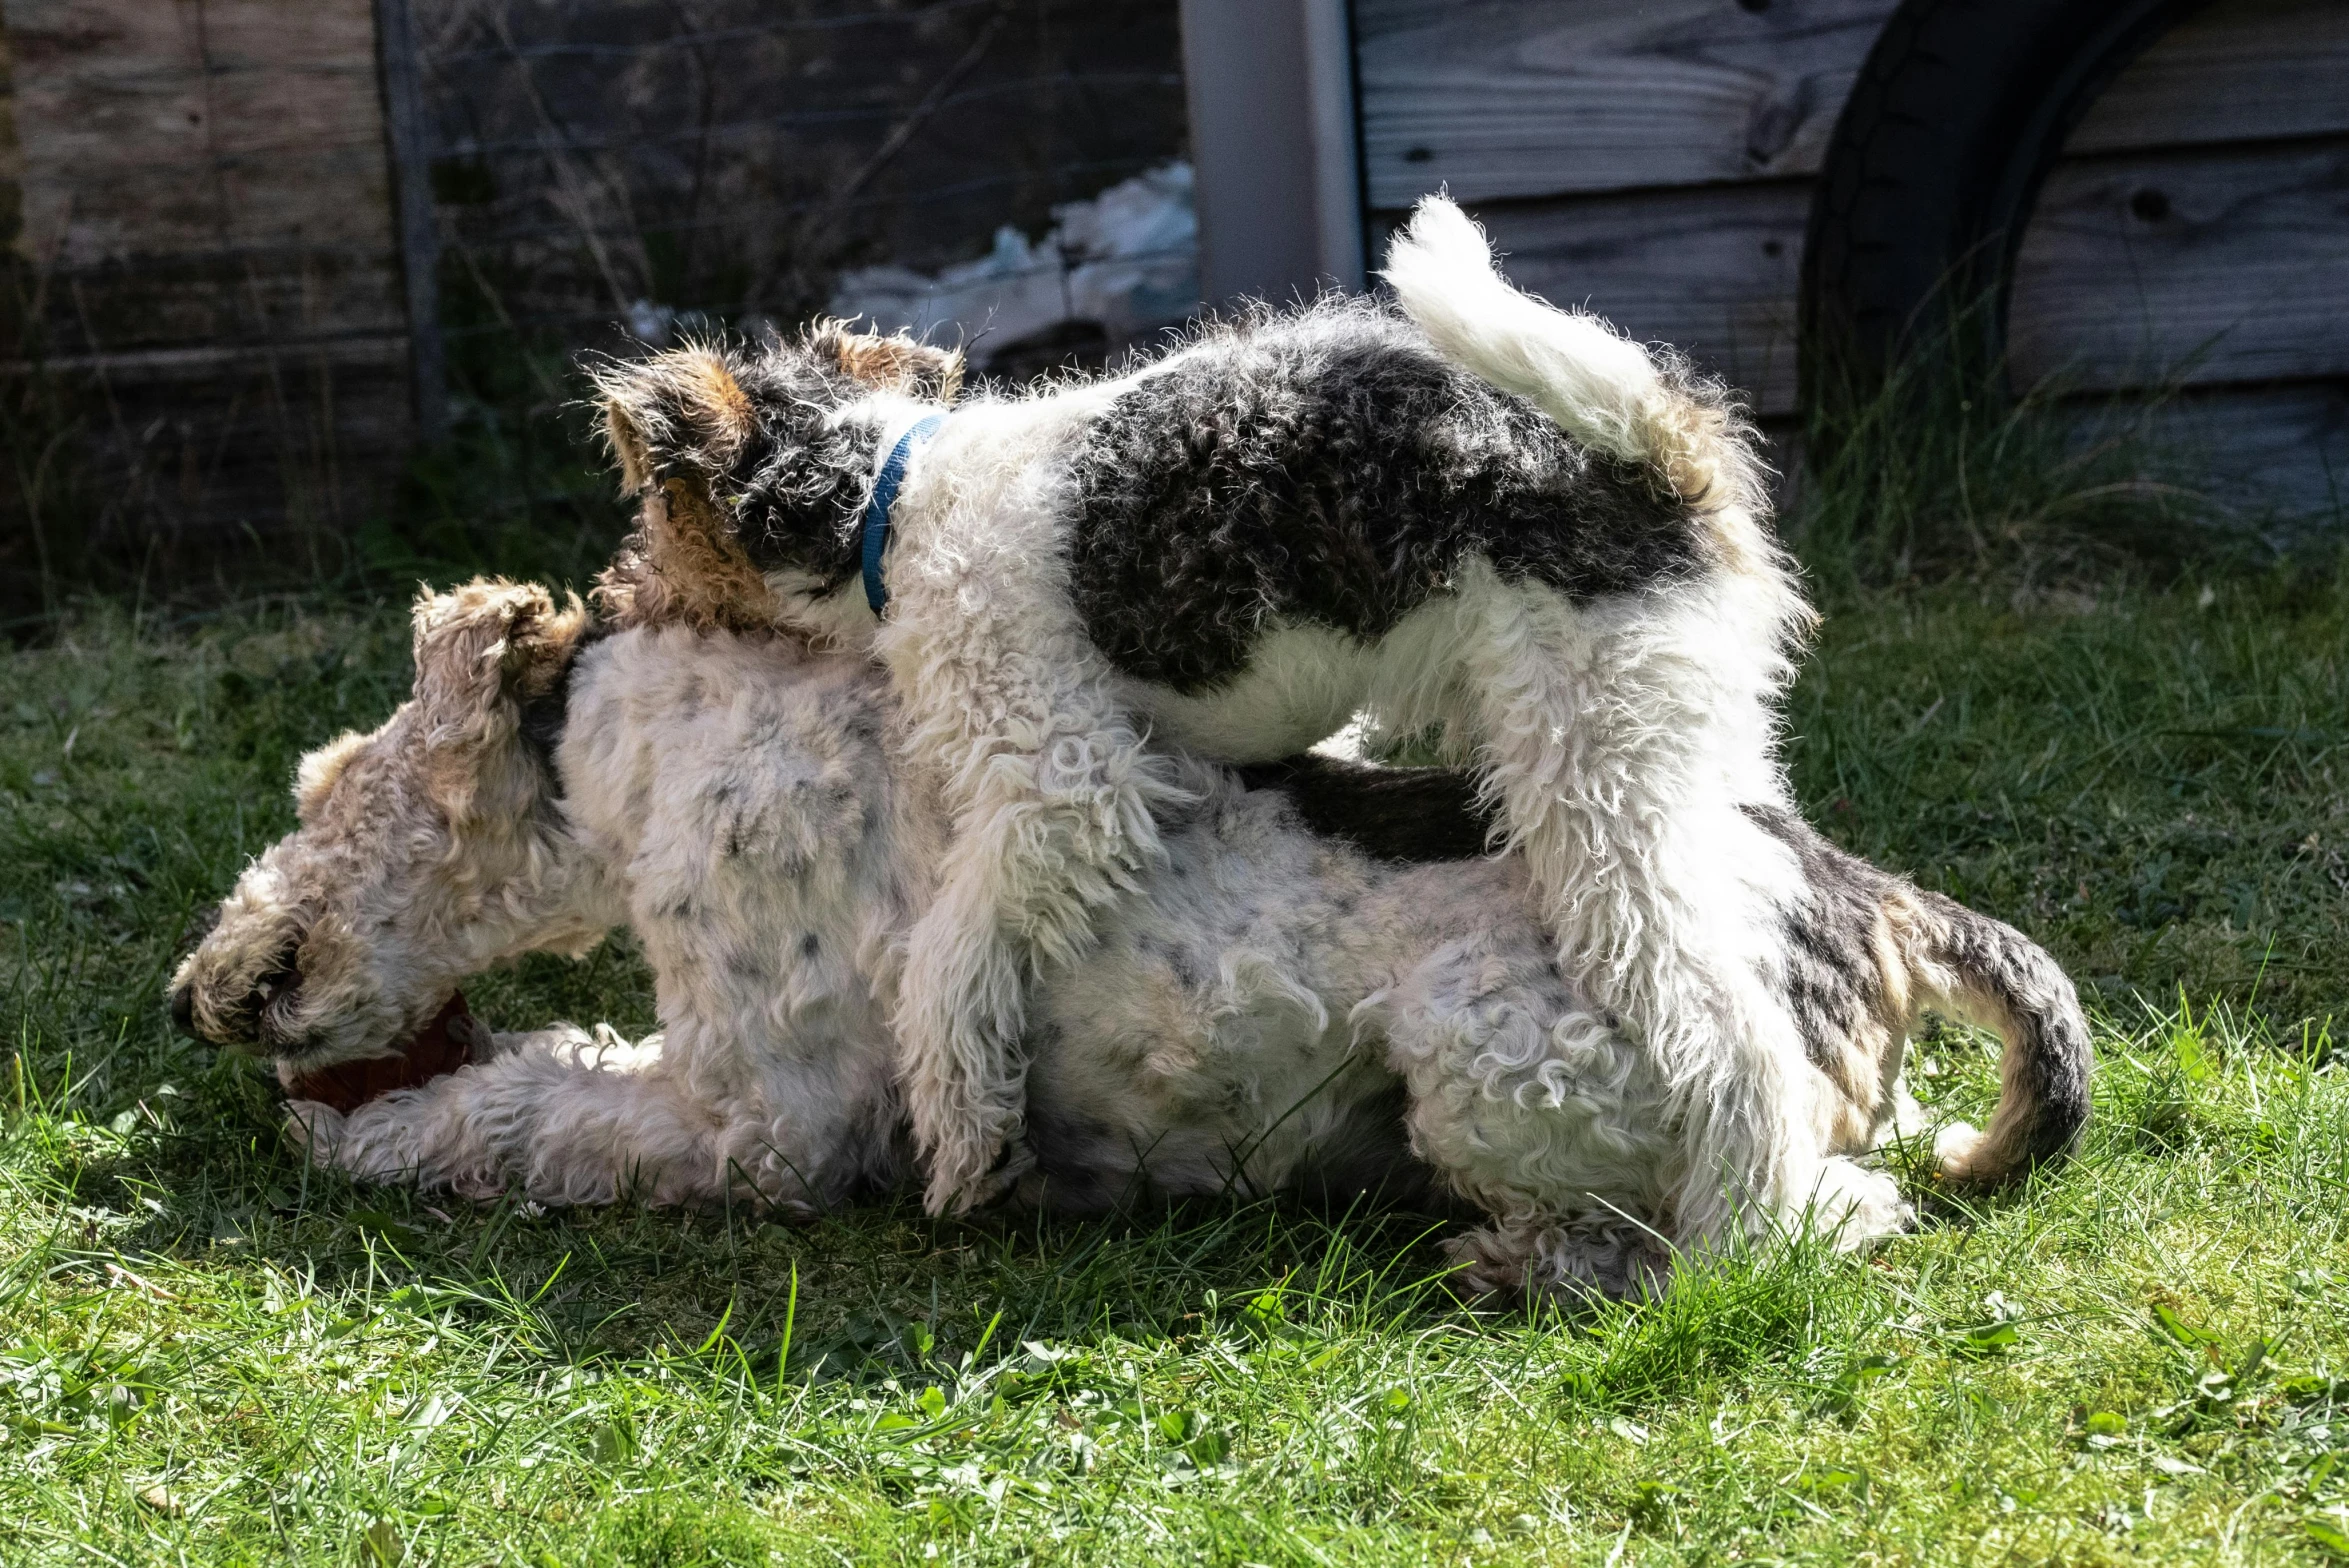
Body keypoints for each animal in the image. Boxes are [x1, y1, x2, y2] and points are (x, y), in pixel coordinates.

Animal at [160, 582, 2095, 1305]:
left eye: (327, 781)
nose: (199, 992)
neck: (628, 746)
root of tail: (1863, 892)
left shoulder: (757, 1116)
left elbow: (529, 1105)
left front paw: (372, 1131)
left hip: (1499, 1053)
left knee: (1806, 1218)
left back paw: (1529, 1261)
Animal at [591, 199, 1869, 1248]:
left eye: (653, 508)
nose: (610, 593)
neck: (892, 501)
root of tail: (1655, 446)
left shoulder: (1063, 778)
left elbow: (951, 957)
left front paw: (962, 1136)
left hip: (1596, 781)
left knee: (1738, 1035)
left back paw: (1737, 1239)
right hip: (1680, 748)